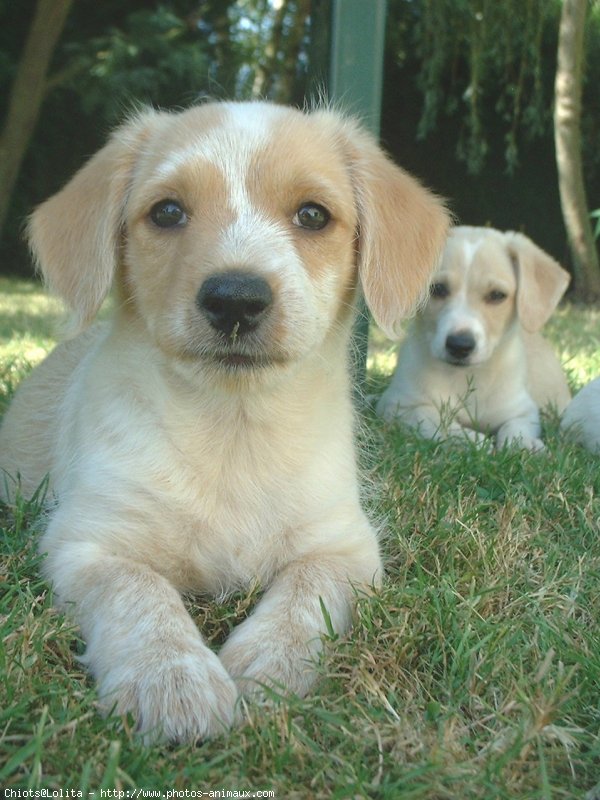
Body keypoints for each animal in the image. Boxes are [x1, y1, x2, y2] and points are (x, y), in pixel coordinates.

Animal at [0, 101, 450, 744]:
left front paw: (264, 670)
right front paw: (172, 680)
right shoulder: (85, 543)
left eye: (313, 215)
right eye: (167, 212)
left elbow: (304, 596)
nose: (235, 299)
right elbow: (140, 593)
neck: (231, 430)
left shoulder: (345, 548)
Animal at [378, 225, 568, 450]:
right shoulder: (398, 405)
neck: (466, 376)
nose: (460, 345)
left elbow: (515, 428)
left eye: (497, 295)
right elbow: (436, 420)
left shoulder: (523, 409)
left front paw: (525, 445)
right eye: (437, 288)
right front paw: (476, 441)